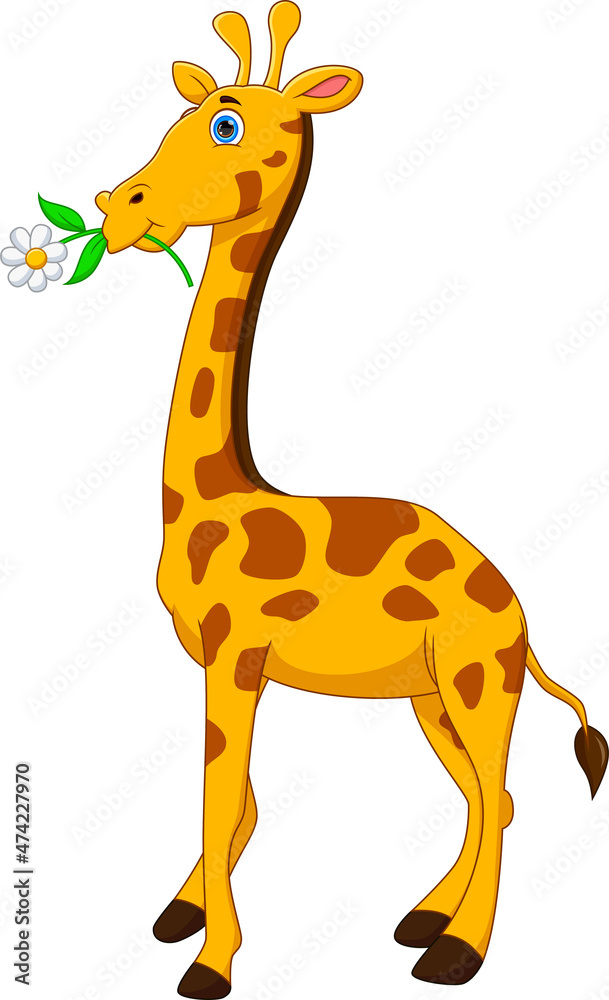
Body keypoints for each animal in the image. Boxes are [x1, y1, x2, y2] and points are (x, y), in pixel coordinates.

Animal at [94, 4, 608, 996]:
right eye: (184, 112)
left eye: (225, 124)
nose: (119, 205)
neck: (211, 498)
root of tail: (520, 615)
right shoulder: (221, 663)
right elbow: (241, 803)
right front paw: (182, 917)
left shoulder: (237, 657)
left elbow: (221, 798)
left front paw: (211, 964)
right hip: (431, 696)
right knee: (493, 796)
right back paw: (422, 921)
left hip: (476, 681)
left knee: (498, 789)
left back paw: (455, 952)